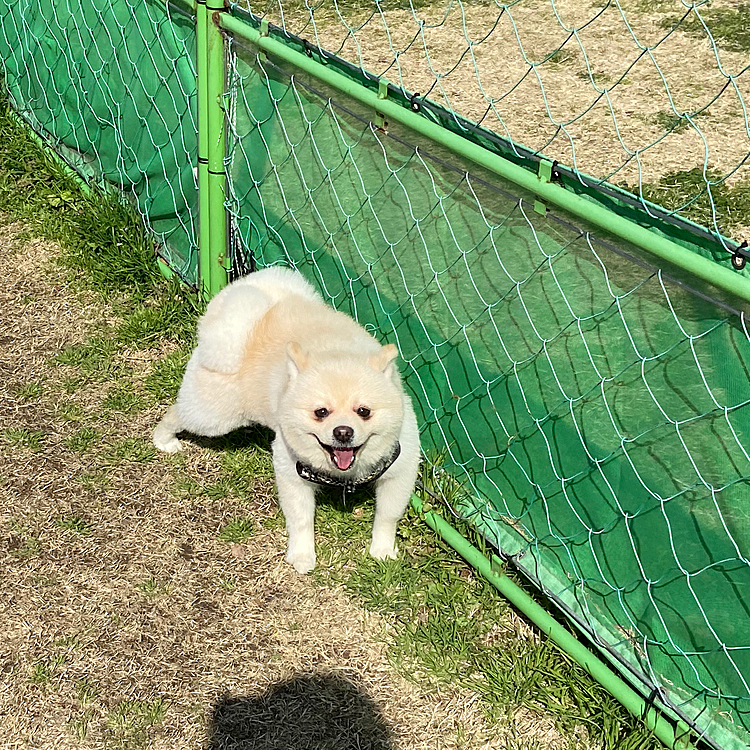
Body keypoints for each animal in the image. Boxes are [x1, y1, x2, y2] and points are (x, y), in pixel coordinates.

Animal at [153, 268, 424, 572]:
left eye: (363, 411)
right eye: (321, 412)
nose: (343, 431)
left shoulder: (400, 468)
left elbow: (387, 516)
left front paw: (383, 549)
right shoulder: (292, 471)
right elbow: (301, 519)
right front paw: (302, 555)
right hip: (214, 416)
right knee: (178, 413)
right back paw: (163, 439)